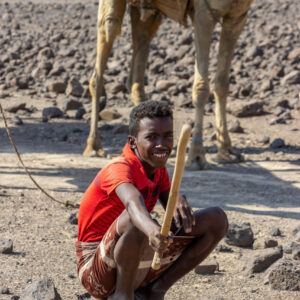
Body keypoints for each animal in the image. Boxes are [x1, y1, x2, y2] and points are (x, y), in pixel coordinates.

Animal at [83, 0, 254, 169]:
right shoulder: (204, 14)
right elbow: (202, 87)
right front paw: (196, 155)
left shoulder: (237, 17)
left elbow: (222, 83)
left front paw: (227, 151)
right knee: (108, 30)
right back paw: (94, 146)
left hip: (148, 12)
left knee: (140, 48)